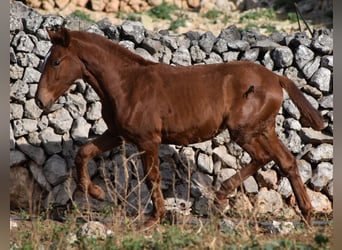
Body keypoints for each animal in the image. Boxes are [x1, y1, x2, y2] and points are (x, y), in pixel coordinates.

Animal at [36, 27, 324, 229]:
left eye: (56, 62)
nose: (41, 100)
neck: (127, 84)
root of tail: (275, 77)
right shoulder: (117, 134)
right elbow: (83, 152)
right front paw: (95, 191)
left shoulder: (147, 140)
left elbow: (152, 177)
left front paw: (154, 219)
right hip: (263, 129)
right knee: (287, 162)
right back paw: (308, 214)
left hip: (243, 130)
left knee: (263, 157)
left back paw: (222, 193)